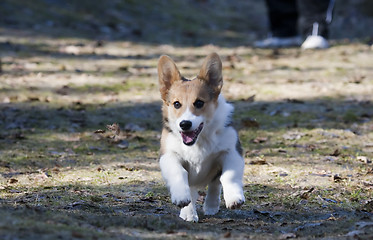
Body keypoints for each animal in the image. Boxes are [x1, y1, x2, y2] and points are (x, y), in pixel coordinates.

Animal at [157, 53, 244, 222]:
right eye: (176, 104)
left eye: (199, 103)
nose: (185, 124)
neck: (199, 140)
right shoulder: (169, 155)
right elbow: (179, 173)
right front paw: (182, 199)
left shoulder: (231, 151)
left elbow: (228, 176)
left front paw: (234, 198)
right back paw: (189, 213)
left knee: (215, 184)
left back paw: (211, 205)